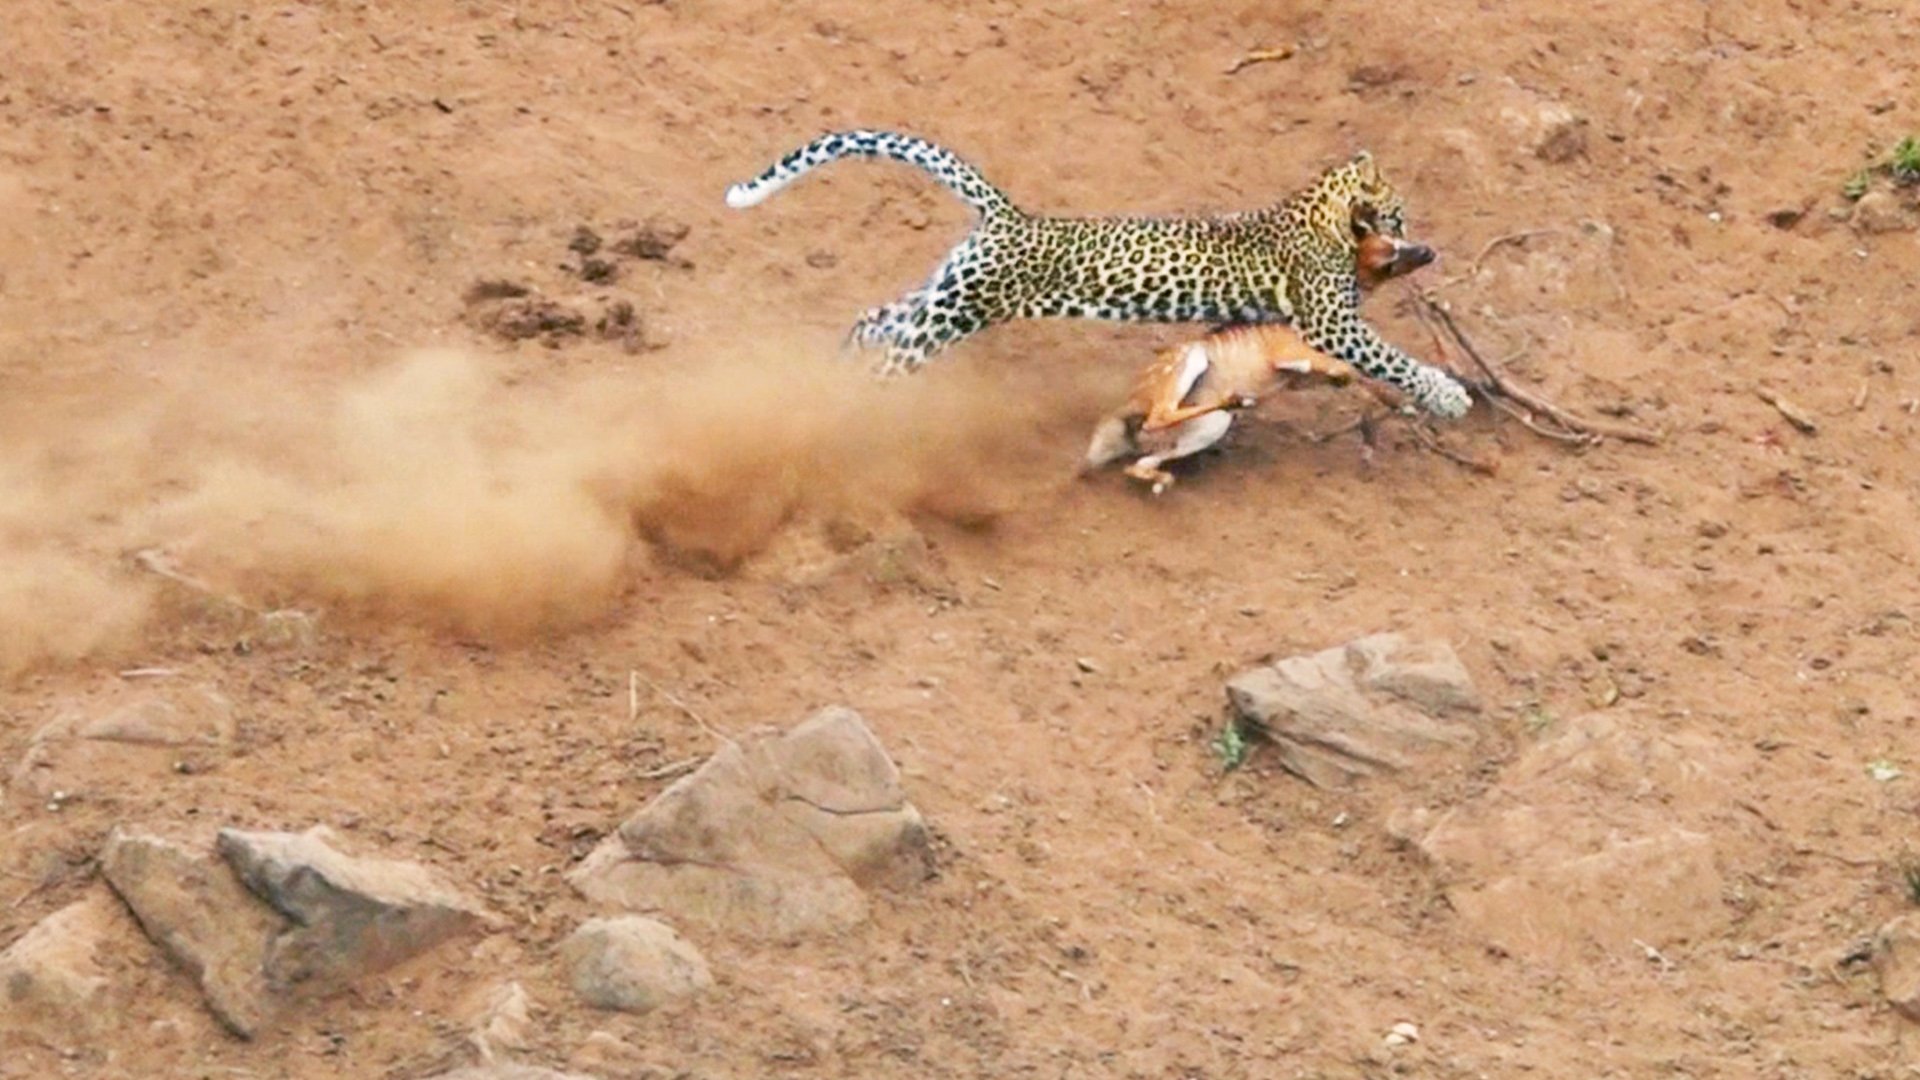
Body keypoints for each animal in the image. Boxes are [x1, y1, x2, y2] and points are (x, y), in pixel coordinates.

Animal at [724, 129, 1470, 419]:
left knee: (877, 317)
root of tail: (1010, 216)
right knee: (889, 358)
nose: (1416, 238)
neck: (1322, 216)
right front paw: (1448, 394)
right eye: (1399, 210)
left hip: (949, 293)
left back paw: (834, 375)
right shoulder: (1332, 321)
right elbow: (1392, 357)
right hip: (956, 312)